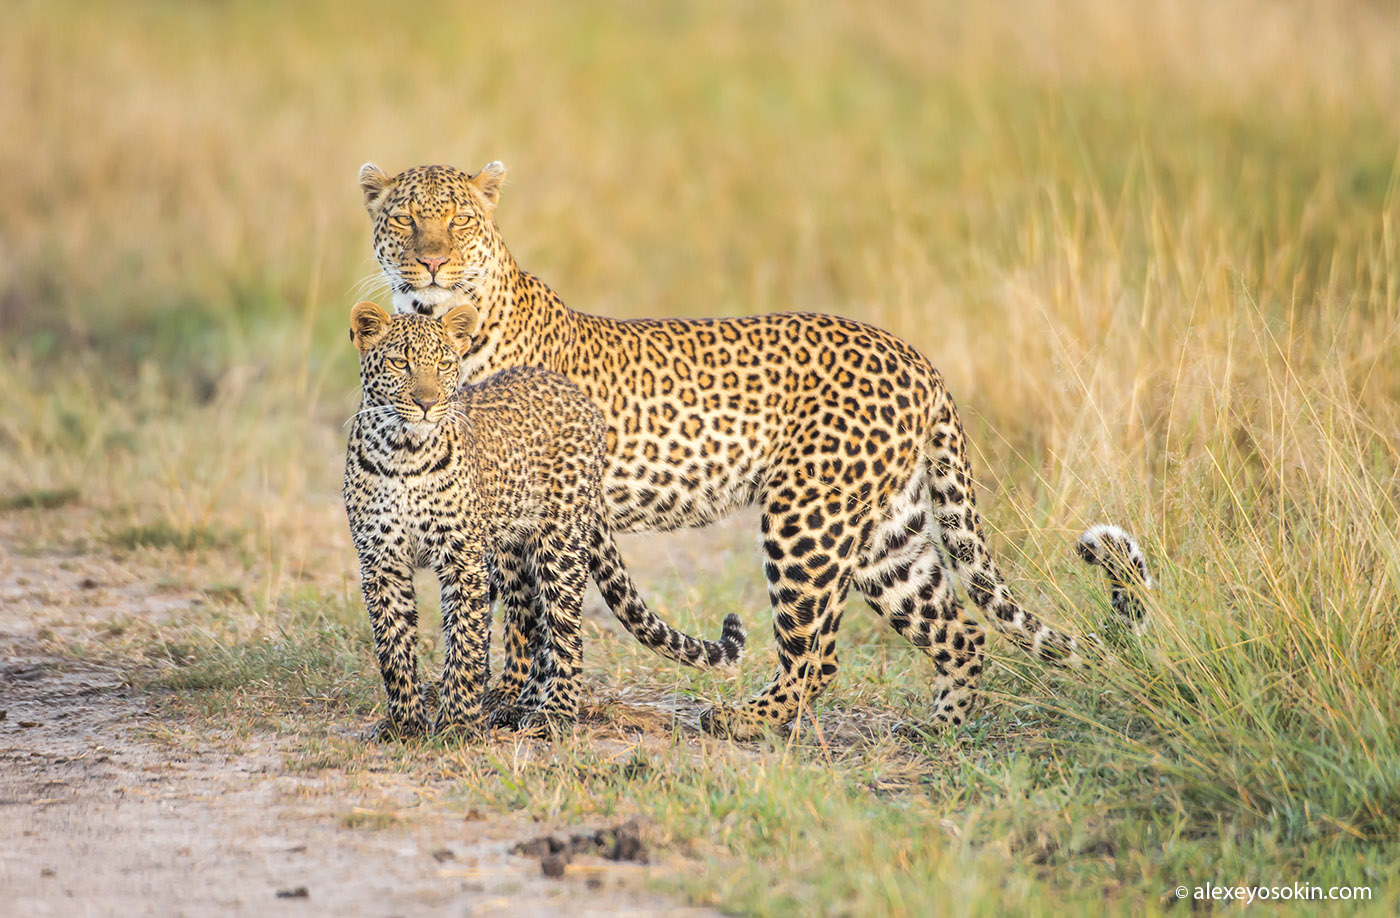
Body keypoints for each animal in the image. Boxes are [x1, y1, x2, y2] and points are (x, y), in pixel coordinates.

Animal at [358, 163, 1148, 738]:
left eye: (460, 220)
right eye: (405, 218)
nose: (433, 261)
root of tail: (916, 357)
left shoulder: (527, 505)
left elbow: (525, 618)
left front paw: (511, 705)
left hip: (808, 517)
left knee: (817, 655)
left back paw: (744, 720)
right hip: (889, 534)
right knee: (959, 631)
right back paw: (940, 730)